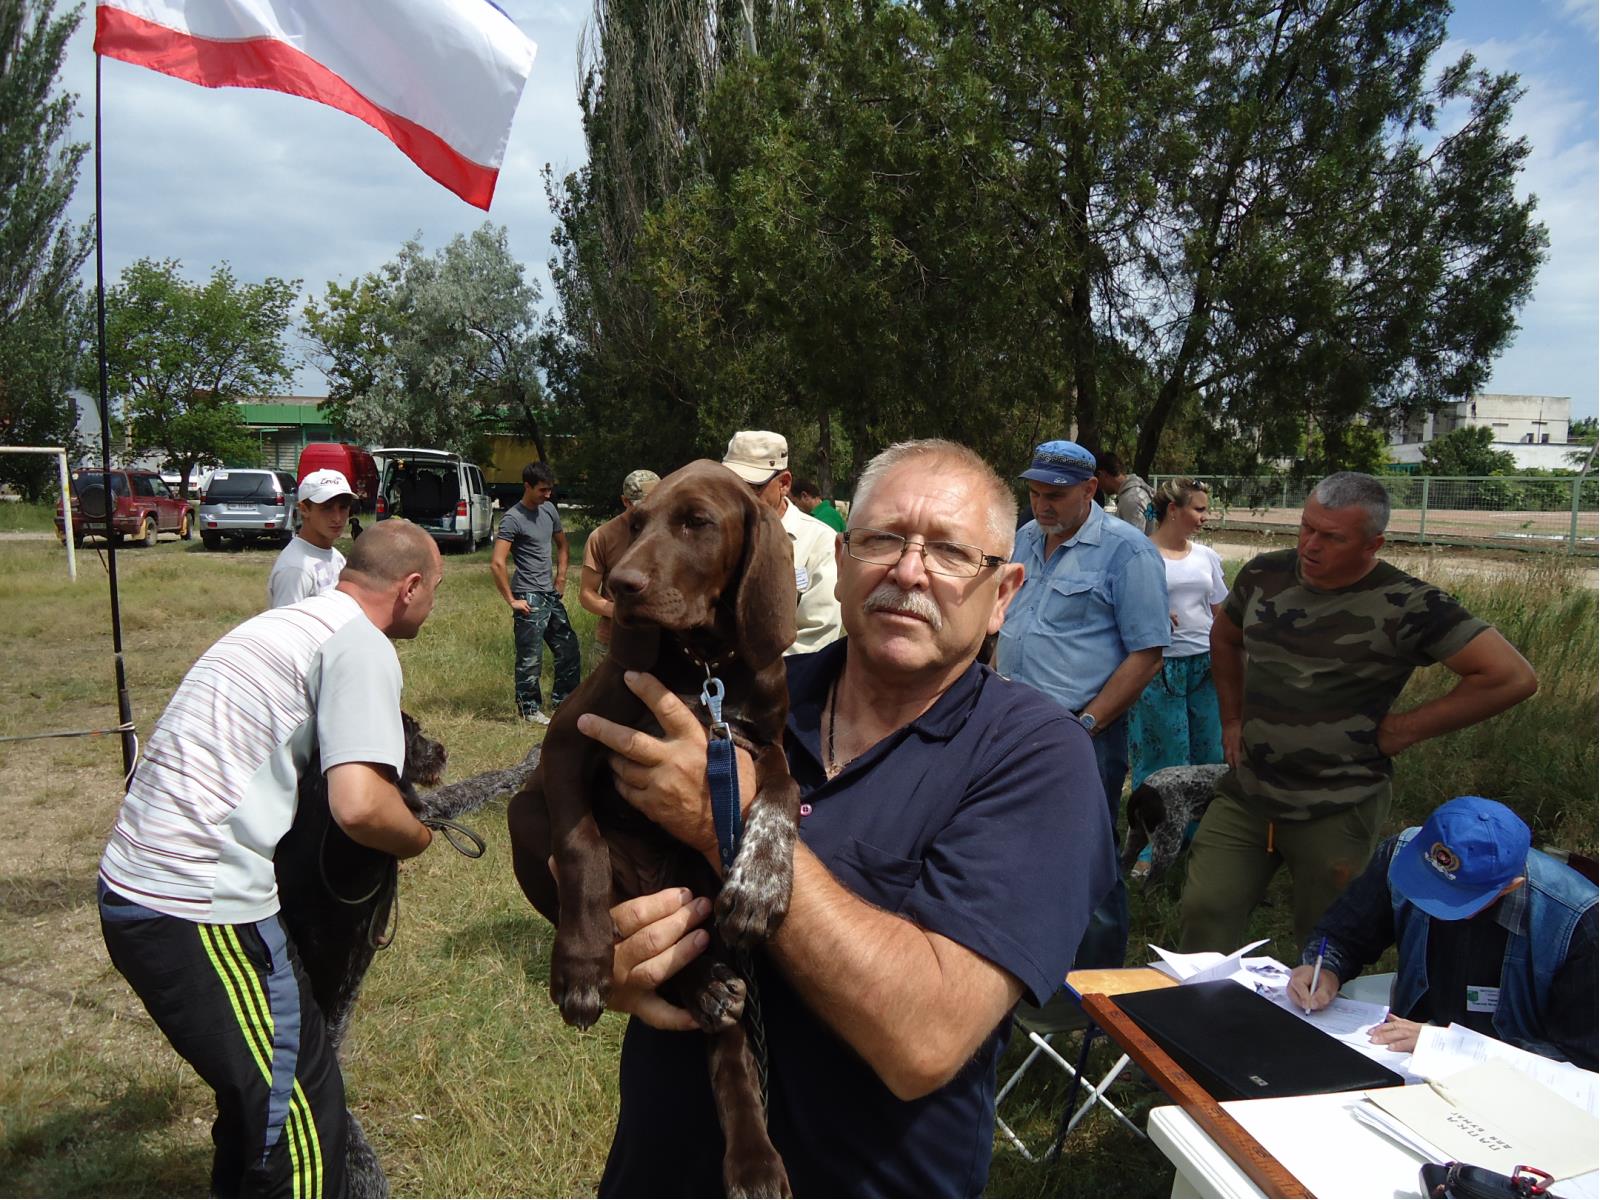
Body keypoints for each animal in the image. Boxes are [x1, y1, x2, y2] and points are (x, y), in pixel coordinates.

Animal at [507, 459, 800, 1198]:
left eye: (697, 523)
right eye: (635, 523)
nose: (622, 587)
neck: (707, 667)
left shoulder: (762, 743)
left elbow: (785, 794)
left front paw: (760, 884)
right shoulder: (568, 740)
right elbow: (581, 849)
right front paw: (582, 966)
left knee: (731, 1057)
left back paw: (754, 1157)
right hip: (524, 817)